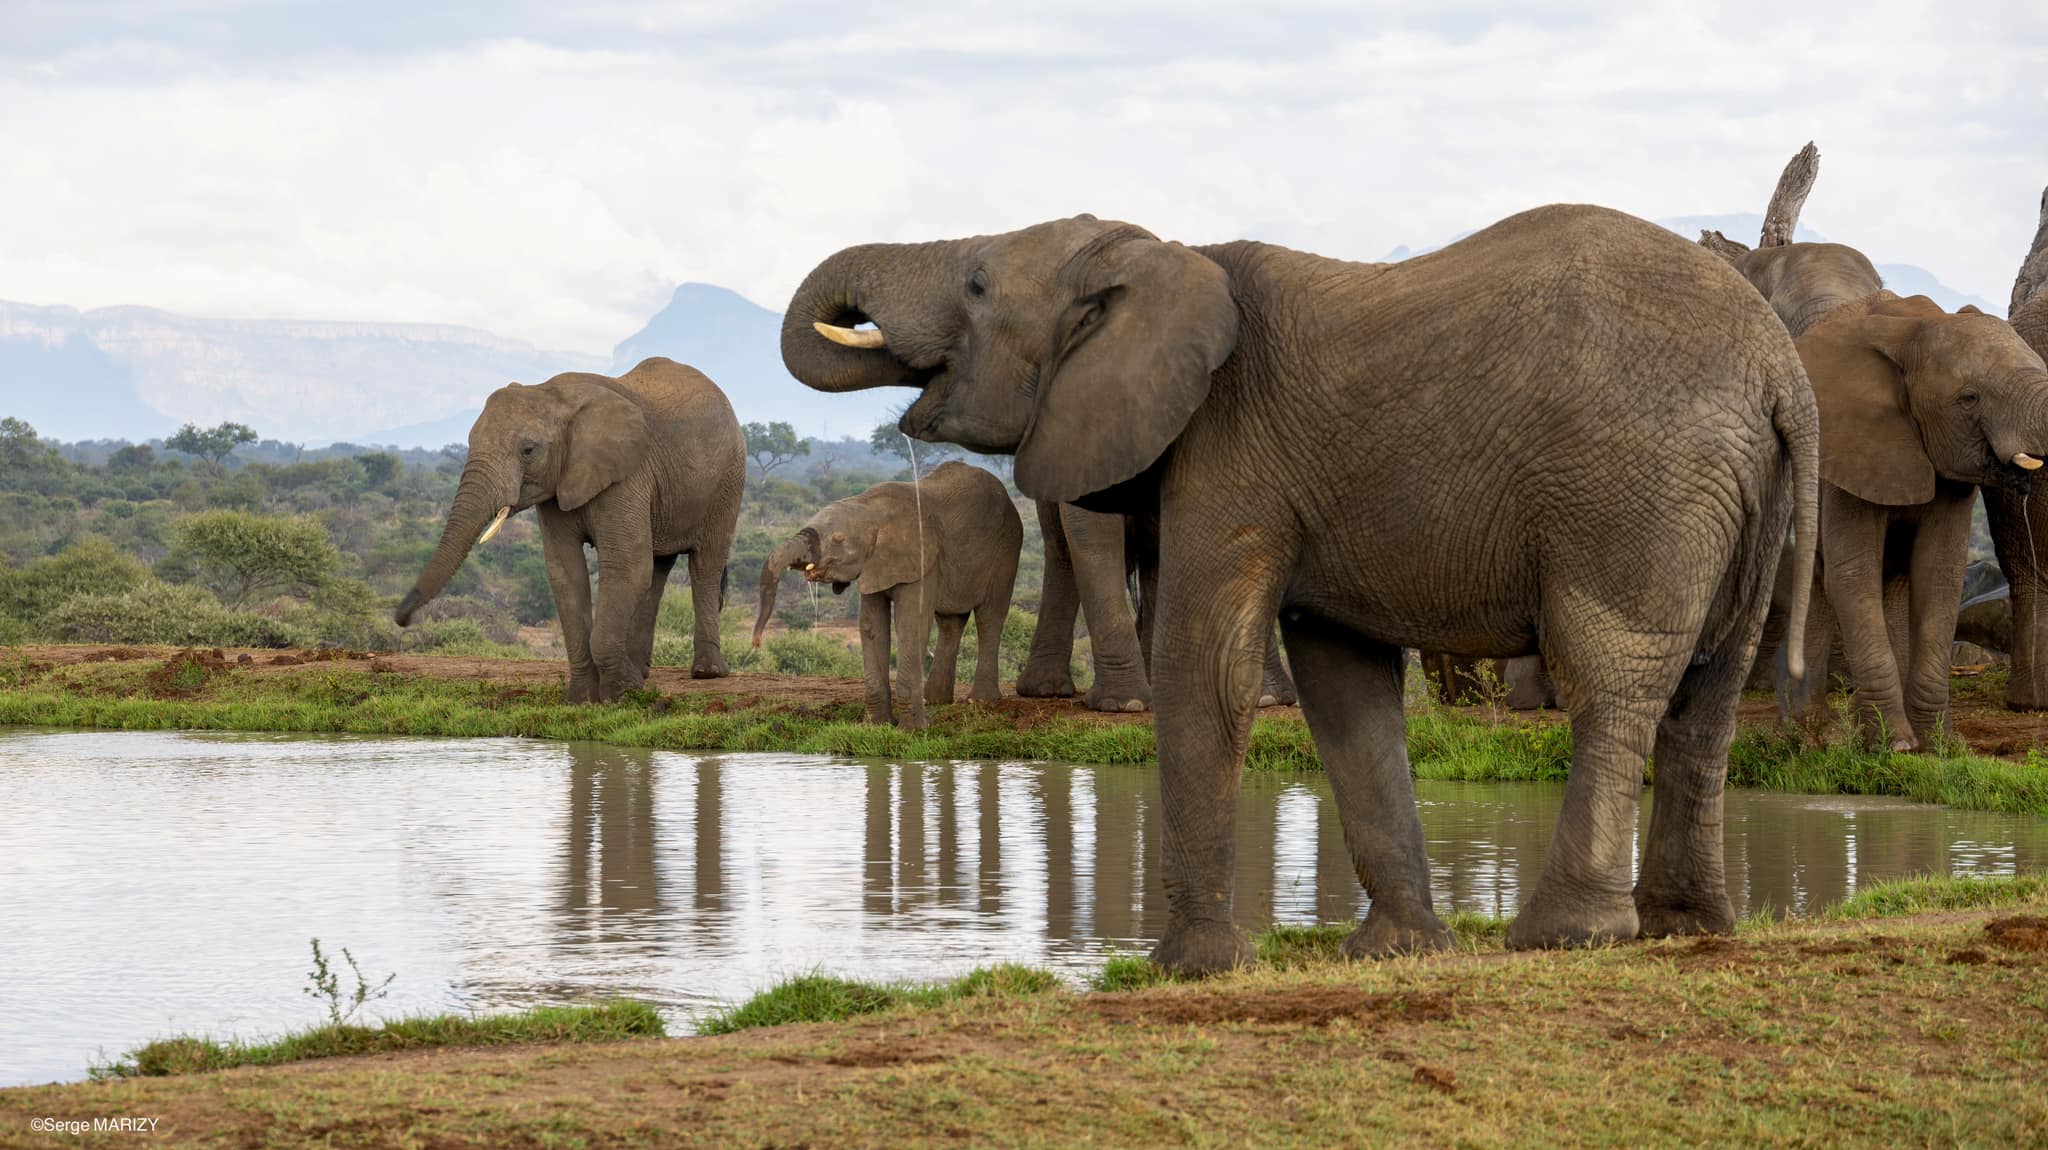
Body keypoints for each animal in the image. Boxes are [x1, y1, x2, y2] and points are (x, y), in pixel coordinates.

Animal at [391, 356, 745, 699]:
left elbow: (625, 566)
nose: (402, 620)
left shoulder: (627, 475)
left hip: (728, 482)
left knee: (705, 565)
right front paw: (582, 697)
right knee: (657, 571)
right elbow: (566, 573)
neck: (552, 394)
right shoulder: (558, 486)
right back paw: (641, 671)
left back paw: (706, 672)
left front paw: (621, 693)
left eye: (528, 450)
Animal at [749, 456, 1019, 724]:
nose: (756, 642)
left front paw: (914, 729)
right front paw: (877, 725)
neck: (869, 507)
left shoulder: (920, 557)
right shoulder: (876, 565)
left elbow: (911, 623)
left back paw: (981, 701)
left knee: (990, 617)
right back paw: (935, 701)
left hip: (1006, 549)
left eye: (838, 539)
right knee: (950, 622)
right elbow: (871, 626)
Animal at [1777, 290, 2048, 748]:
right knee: (1820, 575)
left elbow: (1938, 576)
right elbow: (1853, 576)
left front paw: (1939, 745)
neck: (1915, 332)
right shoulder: (1851, 446)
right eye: (1969, 398)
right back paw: (1811, 732)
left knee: (1895, 581)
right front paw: (1895, 744)